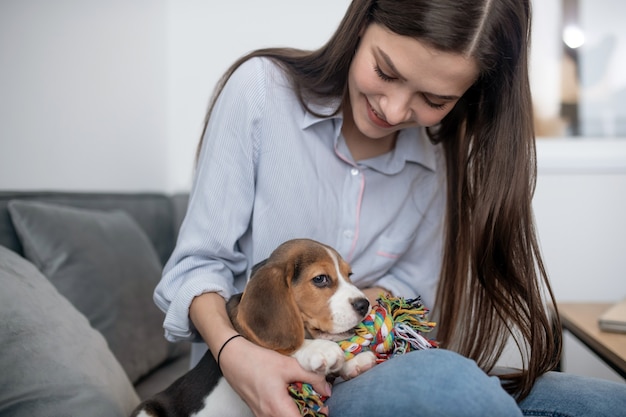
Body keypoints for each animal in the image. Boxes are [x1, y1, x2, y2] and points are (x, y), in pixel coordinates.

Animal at [132, 239, 376, 414]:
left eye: (349, 275)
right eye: (320, 279)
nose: (364, 304)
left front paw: (353, 363)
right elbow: (286, 347)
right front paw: (320, 349)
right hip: (148, 410)